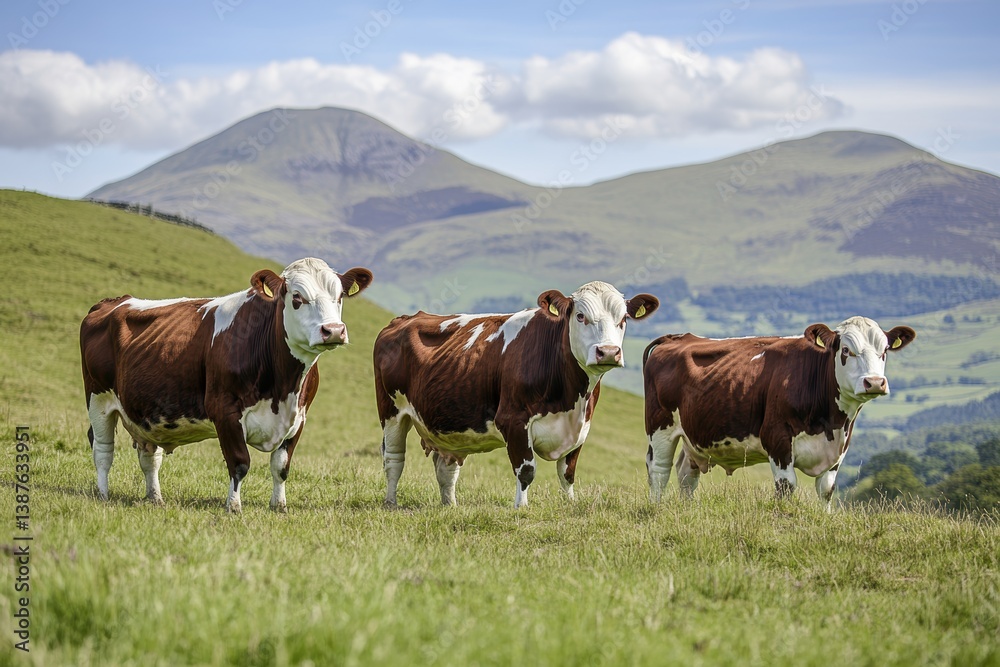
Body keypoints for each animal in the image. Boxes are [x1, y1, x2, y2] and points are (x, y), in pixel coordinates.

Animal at [80, 257, 373, 512]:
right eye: (297, 298)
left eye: (340, 296)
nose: (333, 330)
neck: (283, 387)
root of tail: (115, 301)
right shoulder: (225, 410)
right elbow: (240, 463)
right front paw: (233, 506)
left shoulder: (298, 417)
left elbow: (281, 466)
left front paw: (279, 506)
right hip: (98, 399)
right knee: (102, 449)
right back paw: (103, 495)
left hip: (148, 415)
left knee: (150, 457)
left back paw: (156, 498)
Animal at [374, 282, 659, 508]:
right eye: (580, 316)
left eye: (623, 319)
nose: (608, 352)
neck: (571, 399)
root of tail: (404, 319)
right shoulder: (514, 419)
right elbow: (526, 470)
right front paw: (521, 508)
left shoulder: (581, 427)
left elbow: (567, 472)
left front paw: (570, 504)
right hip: (391, 411)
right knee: (393, 459)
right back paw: (391, 503)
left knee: (446, 468)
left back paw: (450, 506)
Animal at [643, 316, 915, 509]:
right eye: (847, 350)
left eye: (884, 350)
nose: (875, 382)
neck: (830, 422)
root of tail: (677, 337)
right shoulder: (777, 437)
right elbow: (786, 486)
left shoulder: (839, 446)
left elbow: (827, 489)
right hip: (659, 425)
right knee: (659, 468)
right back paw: (656, 509)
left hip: (693, 436)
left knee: (686, 474)